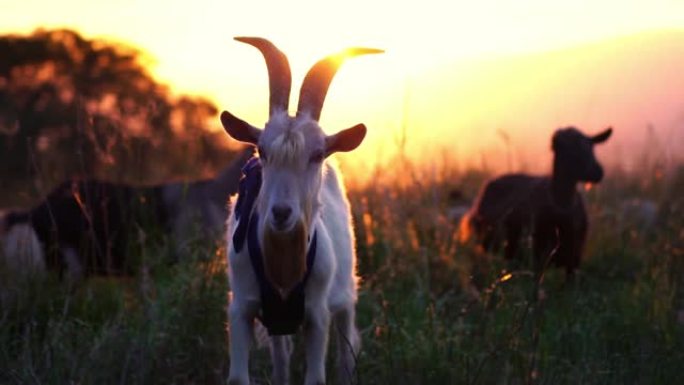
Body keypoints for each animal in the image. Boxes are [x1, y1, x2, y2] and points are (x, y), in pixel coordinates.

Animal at [222, 36, 380, 384]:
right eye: (261, 150)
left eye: (317, 154)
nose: (281, 213)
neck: (283, 268)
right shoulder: (241, 308)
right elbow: (239, 376)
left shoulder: (317, 315)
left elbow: (317, 376)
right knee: (282, 358)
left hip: (346, 294)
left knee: (346, 352)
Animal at [460, 127, 616, 280]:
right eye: (570, 150)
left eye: (592, 148)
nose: (597, 172)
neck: (562, 204)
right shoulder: (538, 255)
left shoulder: (574, 257)